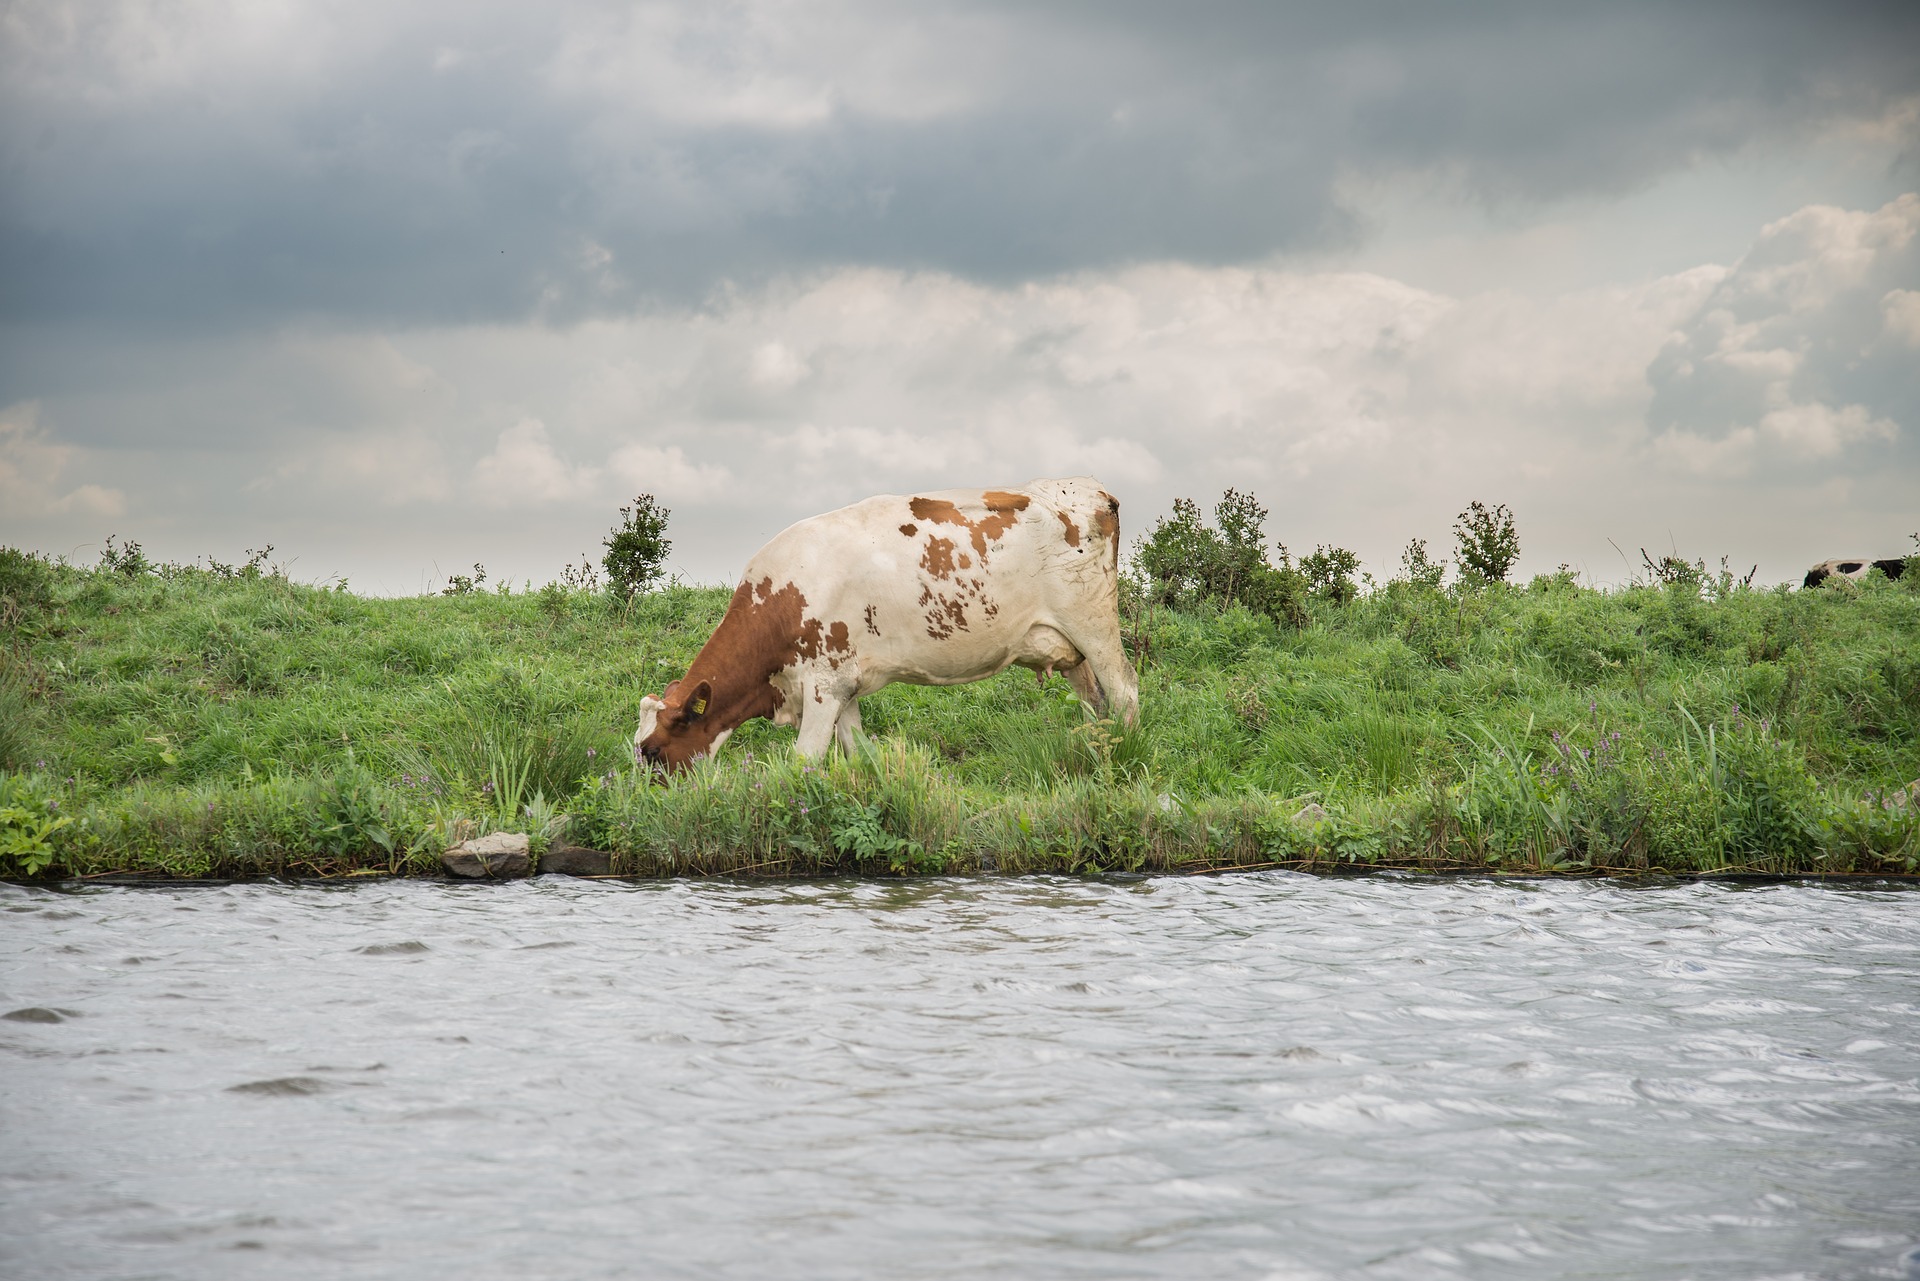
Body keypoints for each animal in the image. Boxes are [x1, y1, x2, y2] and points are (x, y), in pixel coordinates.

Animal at [629, 478, 1136, 772]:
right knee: (1094, 702)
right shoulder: (844, 684)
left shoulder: (822, 685)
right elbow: (860, 753)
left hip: (1094, 623)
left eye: (652, 752)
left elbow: (803, 760)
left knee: (1125, 690)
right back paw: (1096, 752)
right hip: (1068, 648)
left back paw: (1123, 753)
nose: (643, 806)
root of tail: (1092, 489)